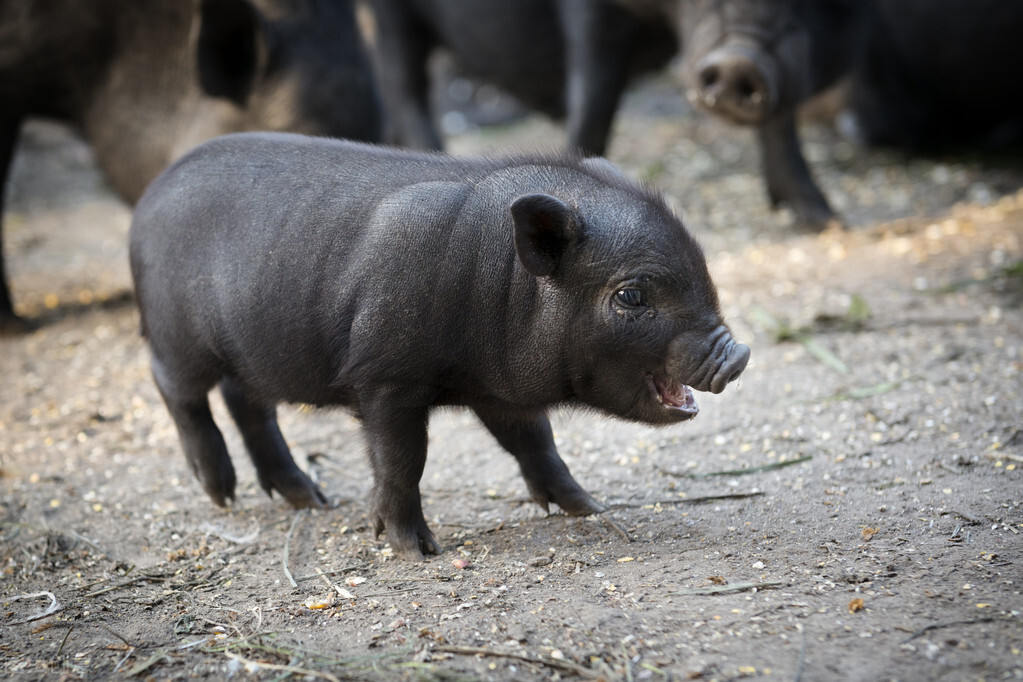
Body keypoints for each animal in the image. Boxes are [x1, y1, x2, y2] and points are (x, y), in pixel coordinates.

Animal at [129, 132, 752, 560]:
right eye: (631, 295)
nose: (738, 355)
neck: (498, 282)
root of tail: (147, 199)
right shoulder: (386, 376)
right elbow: (404, 460)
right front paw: (416, 552)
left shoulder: (501, 392)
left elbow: (536, 443)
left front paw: (589, 508)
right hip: (175, 335)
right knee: (178, 390)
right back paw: (222, 495)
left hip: (249, 352)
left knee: (247, 402)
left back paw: (312, 498)